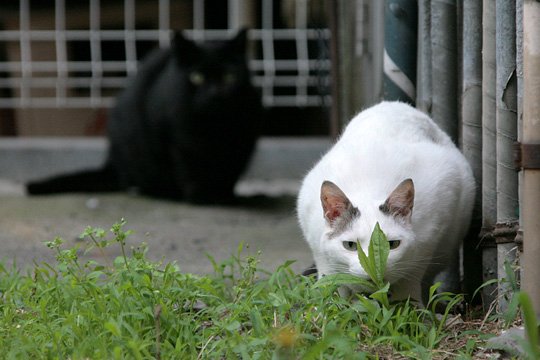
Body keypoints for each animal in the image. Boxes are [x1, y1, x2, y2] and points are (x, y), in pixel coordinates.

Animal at [27, 29, 264, 204]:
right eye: (197, 77)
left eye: (229, 76)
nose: (215, 93)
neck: (215, 127)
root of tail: (113, 161)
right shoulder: (176, 141)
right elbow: (188, 169)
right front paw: (200, 197)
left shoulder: (243, 143)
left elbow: (230, 172)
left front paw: (225, 196)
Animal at [298, 101, 474, 304]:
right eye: (350, 245)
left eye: (392, 245)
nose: (373, 273)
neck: (368, 187)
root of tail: (395, 104)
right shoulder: (319, 249)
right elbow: (332, 286)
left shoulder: (431, 234)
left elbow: (409, 284)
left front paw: (411, 308)